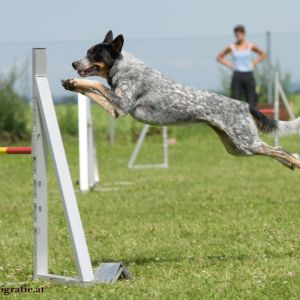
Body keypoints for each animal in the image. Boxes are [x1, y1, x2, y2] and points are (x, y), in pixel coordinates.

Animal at [62, 30, 300, 171]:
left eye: (94, 54)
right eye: (87, 52)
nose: (73, 63)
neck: (123, 67)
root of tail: (245, 104)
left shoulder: (121, 104)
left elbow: (97, 85)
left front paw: (75, 81)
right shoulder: (116, 110)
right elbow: (91, 91)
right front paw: (71, 84)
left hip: (245, 143)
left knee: (281, 150)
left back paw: (294, 162)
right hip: (237, 147)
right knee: (278, 150)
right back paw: (291, 164)